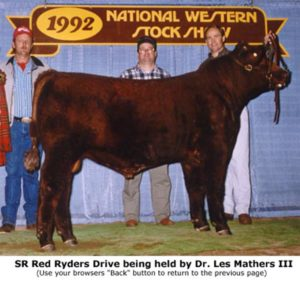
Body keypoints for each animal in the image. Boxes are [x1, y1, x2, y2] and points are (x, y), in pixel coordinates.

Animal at [24, 40, 290, 248]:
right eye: (257, 55)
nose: (285, 75)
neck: (224, 92)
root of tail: (54, 75)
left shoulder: (191, 157)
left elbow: (195, 188)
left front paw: (201, 225)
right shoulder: (218, 149)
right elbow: (215, 188)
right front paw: (222, 227)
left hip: (71, 158)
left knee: (63, 192)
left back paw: (69, 238)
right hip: (59, 152)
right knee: (49, 188)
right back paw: (46, 241)